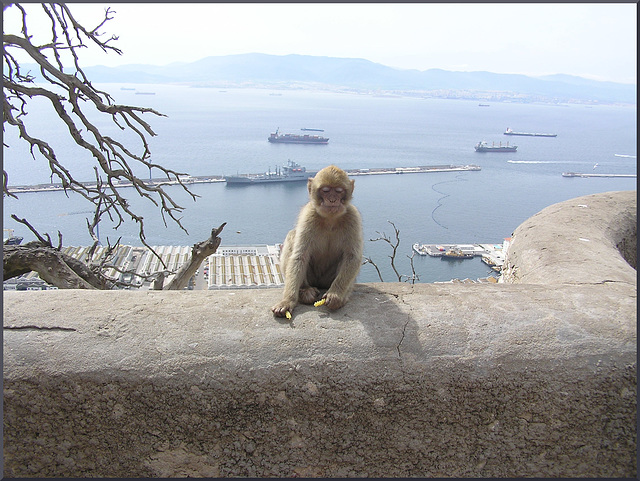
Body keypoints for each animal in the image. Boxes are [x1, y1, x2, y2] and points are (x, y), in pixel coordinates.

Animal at [270, 163, 362, 316]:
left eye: (339, 191)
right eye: (325, 190)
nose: (332, 200)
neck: (330, 219)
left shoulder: (353, 217)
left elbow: (352, 256)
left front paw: (336, 295)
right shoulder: (309, 215)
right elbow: (300, 256)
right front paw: (287, 301)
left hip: (328, 280)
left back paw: (343, 295)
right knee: (292, 236)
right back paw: (305, 290)